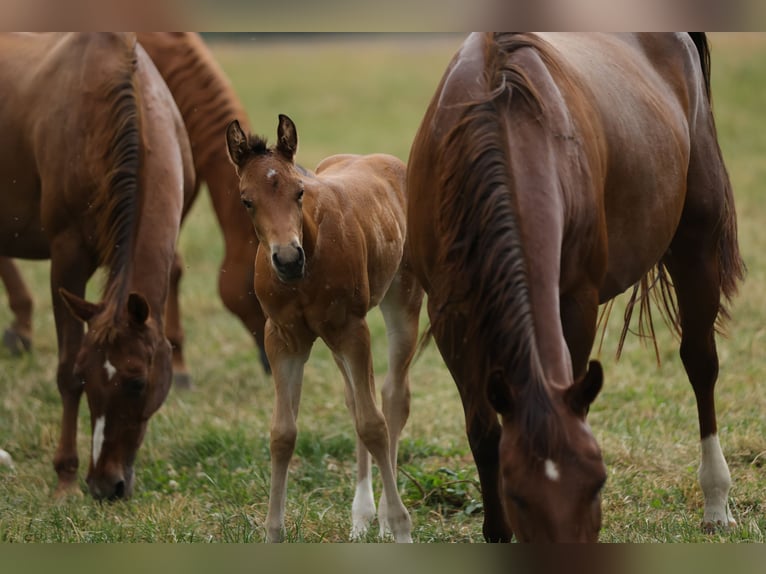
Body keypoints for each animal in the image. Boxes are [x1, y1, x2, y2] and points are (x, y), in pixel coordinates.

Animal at [0, 33, 195, 499]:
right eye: (88, 376)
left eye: (138, 382)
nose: (106, 485)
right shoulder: (67, 259)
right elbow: (64, 371)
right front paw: (65, 478)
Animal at [226, 114, 424, 542]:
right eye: (247, 200)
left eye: (299, 192)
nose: (287, 259)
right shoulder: (283, 338)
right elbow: (283, 433)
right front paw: (273, 533)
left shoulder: (352, 328)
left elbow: (374, 424)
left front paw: (401, 525)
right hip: (332, 340)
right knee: (355, 399)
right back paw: (362, 516)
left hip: (402, 300)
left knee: (392, 398)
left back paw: (385, 519)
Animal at [406, 33, 744, 542]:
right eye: (517, 494)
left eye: (597, 483)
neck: (499, 119)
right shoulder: (452, 316)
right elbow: (484, 433)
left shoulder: (576, 302)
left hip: (696, 243)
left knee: (700, 363)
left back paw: (716, 501)